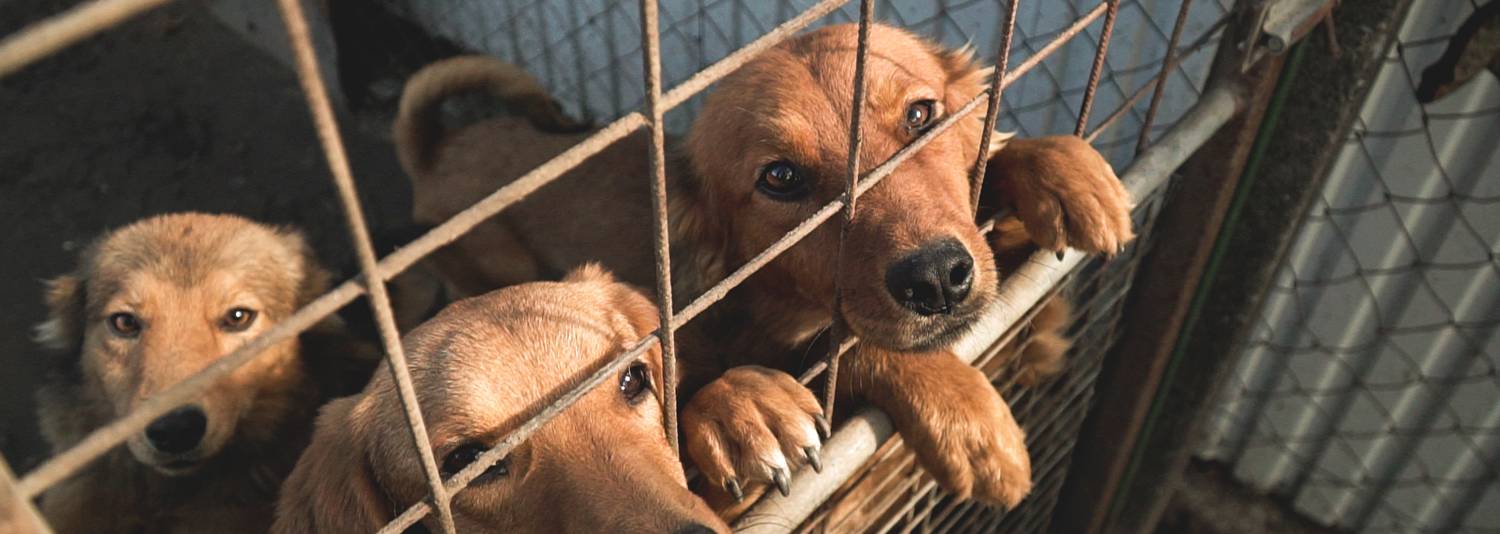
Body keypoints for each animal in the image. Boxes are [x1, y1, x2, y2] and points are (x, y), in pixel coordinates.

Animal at [393, 22, 1128, 516]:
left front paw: (1059, 168)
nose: (938, 279)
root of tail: (444, 148)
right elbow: (847, 346)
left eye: (921, 114)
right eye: (780, 178)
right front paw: (959, 409)